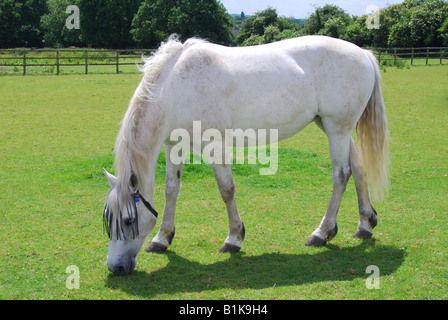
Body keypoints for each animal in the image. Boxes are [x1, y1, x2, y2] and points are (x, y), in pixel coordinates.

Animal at [102, 34, 388, 276]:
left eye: (128, 220)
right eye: (109, 219)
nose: (116, 268)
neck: (176, 86)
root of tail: (363, 53)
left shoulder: (214, 144)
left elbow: (226, 190)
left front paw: (233, 239)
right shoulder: (174, 145)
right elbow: (171, 190)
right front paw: (162, 239)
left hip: (337, 128)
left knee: (341, 175)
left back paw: (322, 232)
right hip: (333, 127)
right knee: (358, 166)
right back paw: (365, 224)